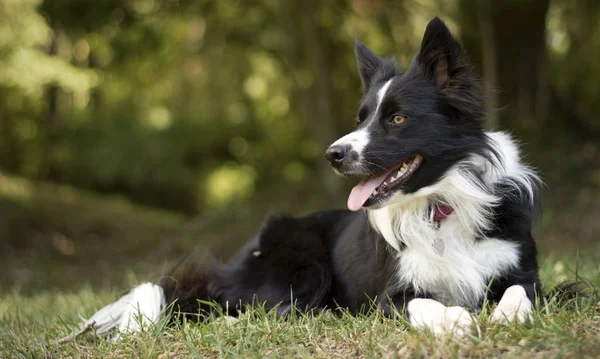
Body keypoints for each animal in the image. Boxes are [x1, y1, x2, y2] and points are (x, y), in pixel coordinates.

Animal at [81, 16, 544, 338]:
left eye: (397, 118)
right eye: (360, 118)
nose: (333, 155)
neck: (439, 203)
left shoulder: (524, 273)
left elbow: (519, 291)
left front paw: (507, 315)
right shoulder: (387, 298)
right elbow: (422, 304)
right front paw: (455, 321)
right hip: (302, 266)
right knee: (233, 306)